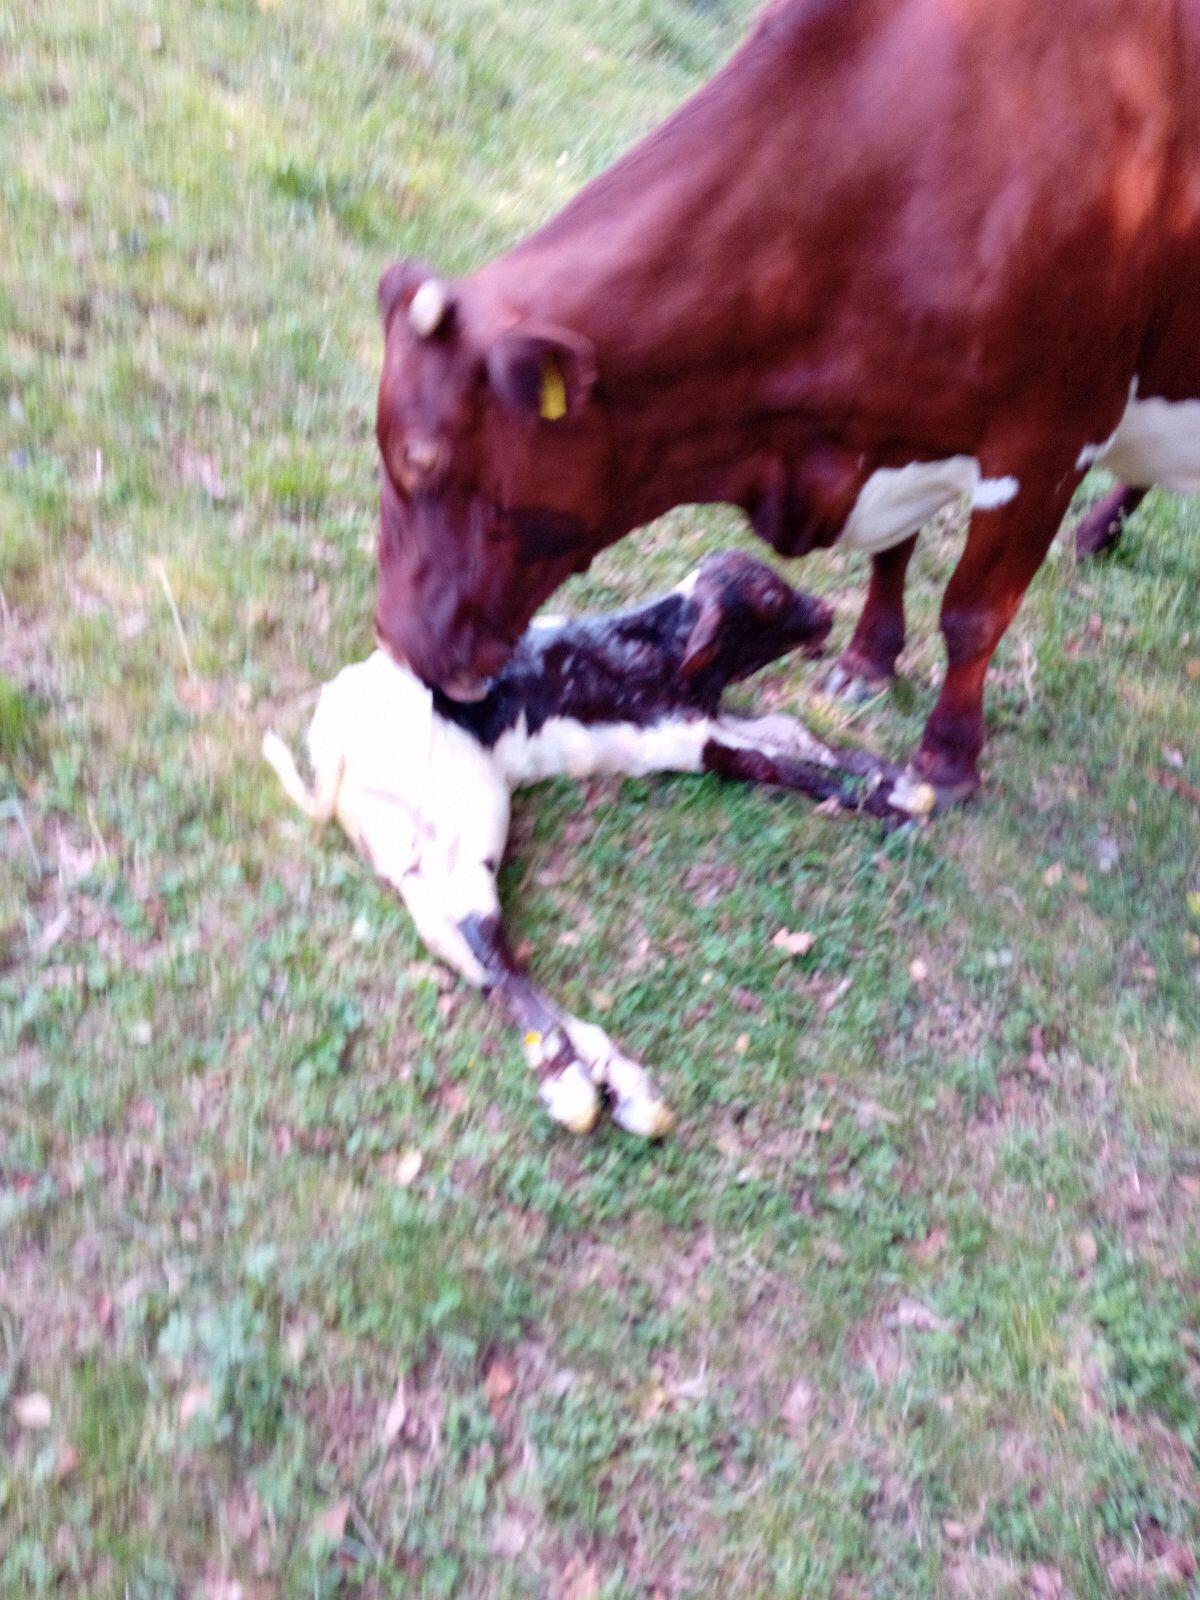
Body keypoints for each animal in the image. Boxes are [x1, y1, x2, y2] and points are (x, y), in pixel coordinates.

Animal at [373, 0, 1200, 807]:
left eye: (423, 459)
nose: (395, 642)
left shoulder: (1050, 439)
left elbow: (973, 614)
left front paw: (947, 760)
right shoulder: (896, 428)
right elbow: (892, 554)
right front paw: (868, 661)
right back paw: (1097, 534)